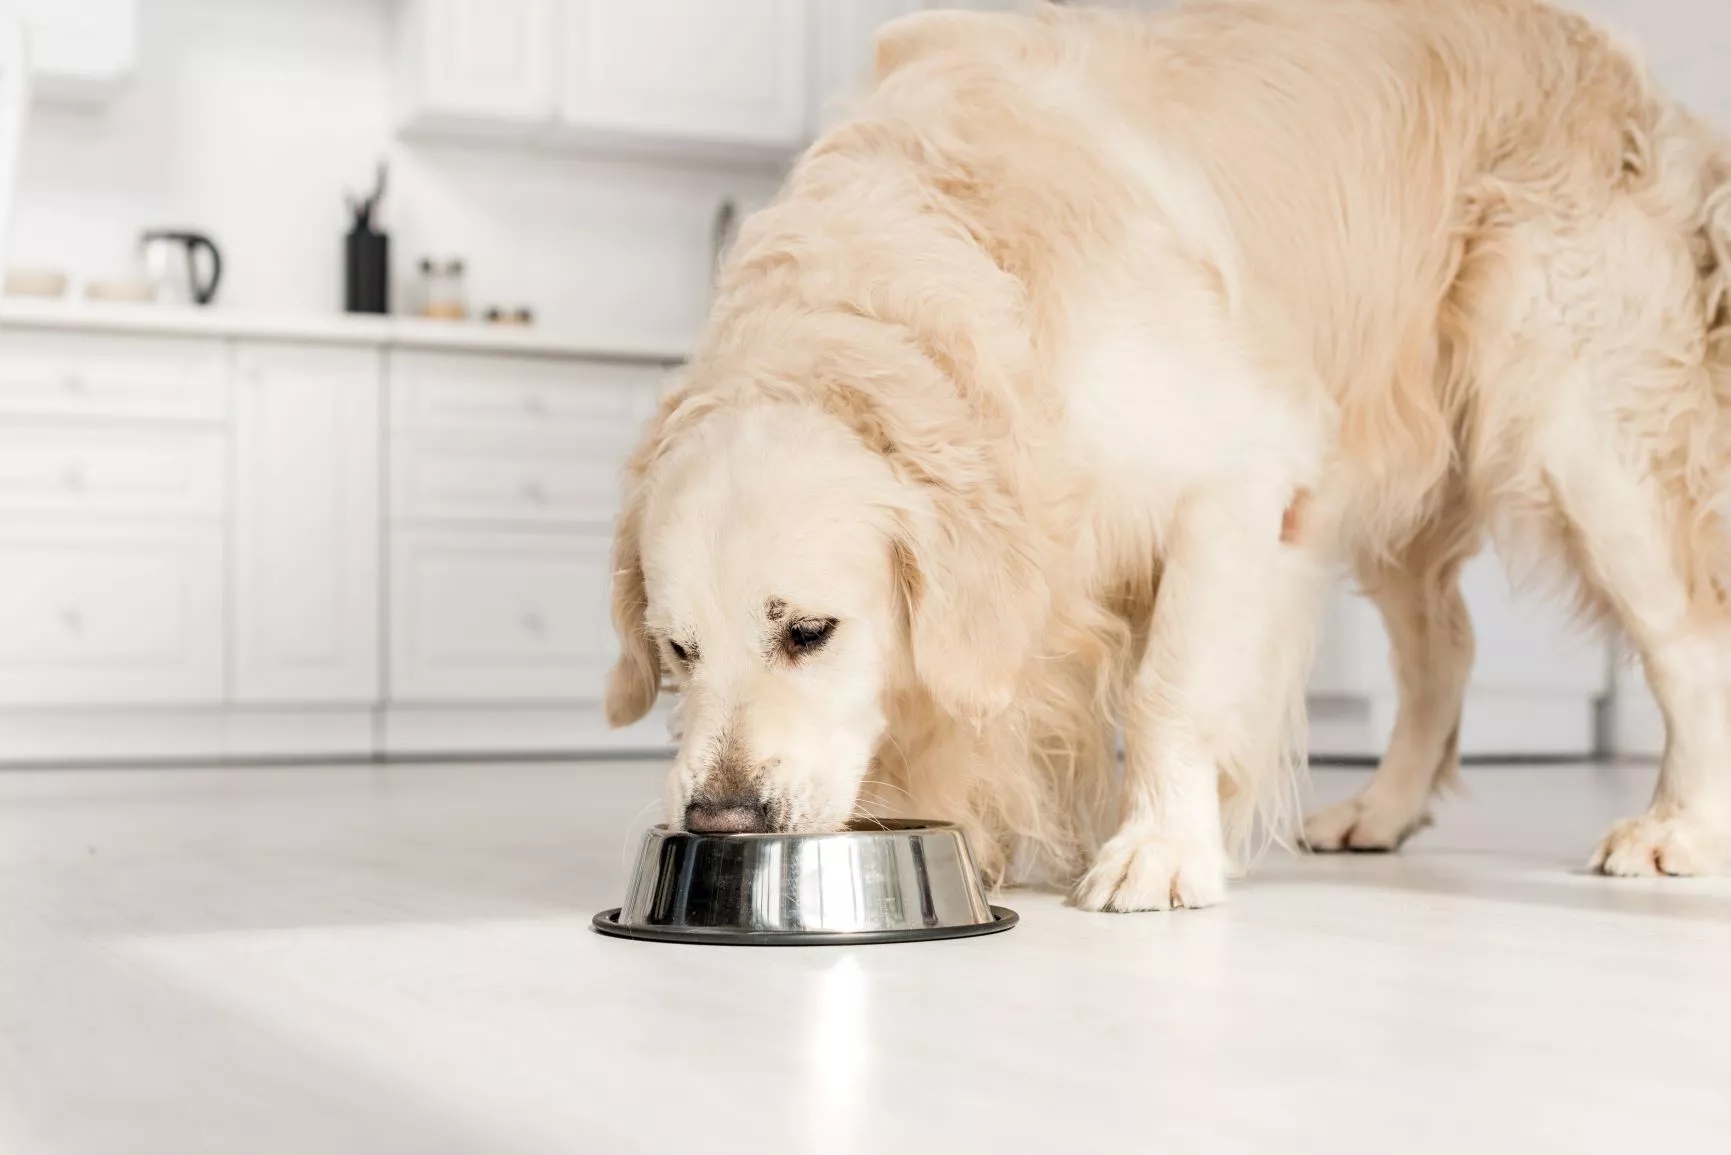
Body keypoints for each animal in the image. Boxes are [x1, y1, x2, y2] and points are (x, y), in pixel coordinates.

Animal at [605, 0, 1731, 914]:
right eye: (678, 650)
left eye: (809, 631)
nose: (718, 818)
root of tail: (1621, 64)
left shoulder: (1236, 478)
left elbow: (1169, 689)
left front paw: (1159, 850)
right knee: (1443, 651)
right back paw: (1382, 809)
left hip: (1575, 432)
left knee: (1684, 639)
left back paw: (1678, 826)